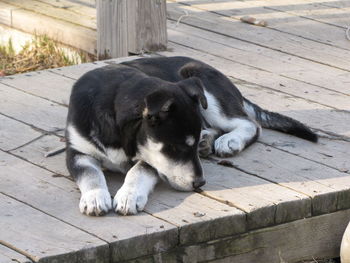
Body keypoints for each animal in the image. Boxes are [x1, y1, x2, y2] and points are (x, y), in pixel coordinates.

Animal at [65, 55, 318, 217]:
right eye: (176, 148)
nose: (200, 183)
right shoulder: (77, 152)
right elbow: (90, 174)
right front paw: (95, 198)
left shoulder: (151, 158)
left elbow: (138, 170)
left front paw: (129, 195)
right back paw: (207, 140)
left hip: (204, 86)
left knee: (250, 123)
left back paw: (229, 140)